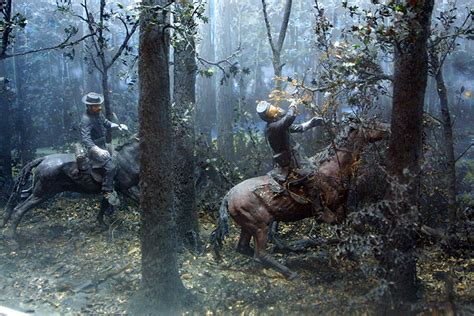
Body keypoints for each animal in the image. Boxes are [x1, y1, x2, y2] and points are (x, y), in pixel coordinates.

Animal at [1, 137, 140, 238]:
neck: (126, 157)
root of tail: (43, 158)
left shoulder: (110, 190)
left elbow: (103, 205)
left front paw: (101, 224)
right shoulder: (128, 188)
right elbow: (139, 200)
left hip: (38, 191)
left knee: (18, 198)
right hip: (42, 193)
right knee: (19, 209)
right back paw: (12, 238)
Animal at [211, 120, 388, 278]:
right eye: (371, 124)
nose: (388, 128)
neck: (332, 169)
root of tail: (228, 196)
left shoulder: (342, 209)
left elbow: (357, 228)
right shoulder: (335, 210)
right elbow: (349, 230)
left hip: (248, 227)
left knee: (243, 248)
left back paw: (286, 251)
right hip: (260, 226)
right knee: (259, 254)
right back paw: (290, 272)